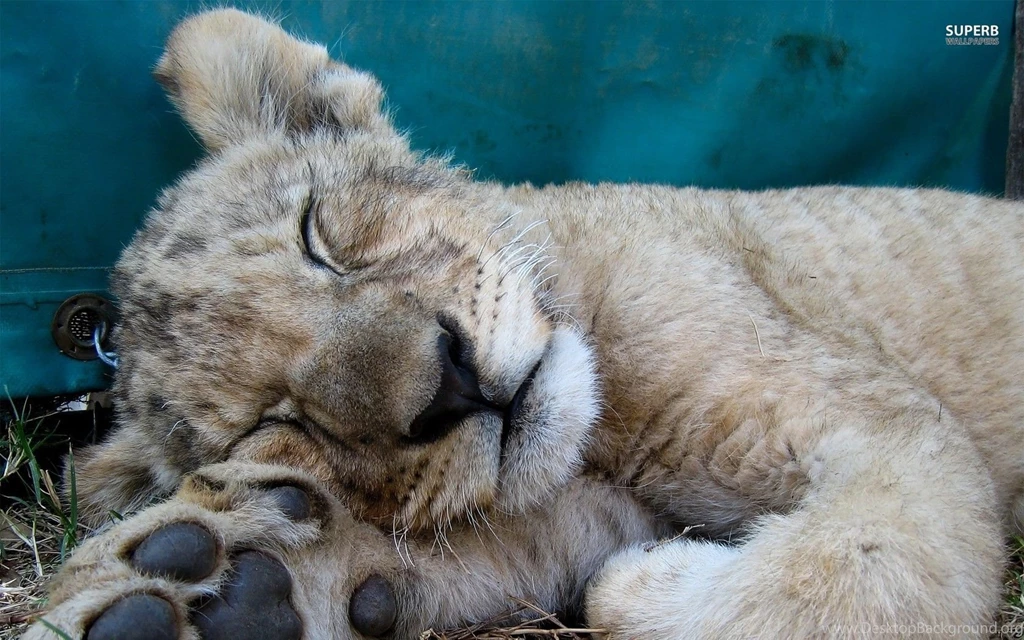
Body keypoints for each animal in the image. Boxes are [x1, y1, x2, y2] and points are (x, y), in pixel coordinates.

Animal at [26, 9, 1024, 640]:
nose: (449, 384)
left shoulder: (902, 435)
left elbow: (860, 572)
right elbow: (478, 550)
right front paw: (221, 582)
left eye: (322, 236)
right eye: (273, 423)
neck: (608, 430)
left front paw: (646, 584)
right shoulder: (589, 505)